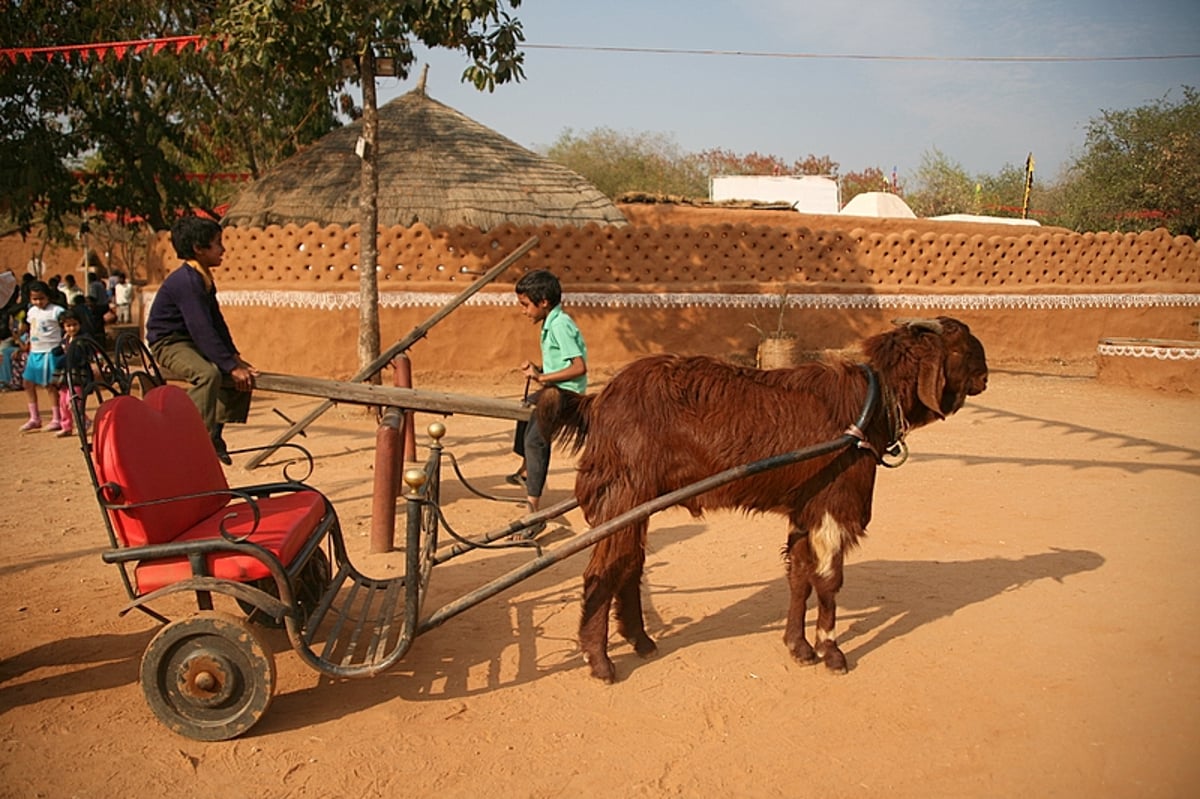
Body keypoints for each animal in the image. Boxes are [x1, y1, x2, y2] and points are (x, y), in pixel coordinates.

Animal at [540, 316, 988, 676]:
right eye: (962, 345)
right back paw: (600, 661)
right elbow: (829, 580)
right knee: (603, 571)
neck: (872, 401)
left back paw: (642, 642)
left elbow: (800, 575)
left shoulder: (806, 508)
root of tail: (598, 400)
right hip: (624, 493)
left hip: (635, 499)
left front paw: (799, 647)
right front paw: (832, 653)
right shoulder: (834, 504)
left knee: (629, 565)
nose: (985, 376)